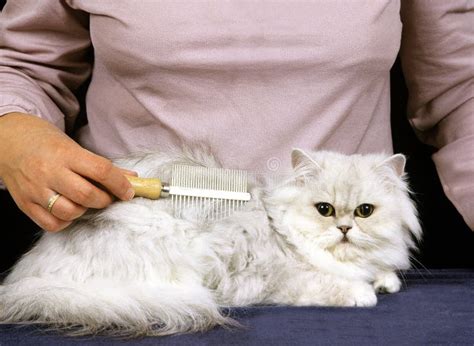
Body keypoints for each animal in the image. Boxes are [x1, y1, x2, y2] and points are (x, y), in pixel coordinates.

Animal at [0, 148, 422, 336]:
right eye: (325, 209)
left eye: (365, 211)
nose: (345, 229)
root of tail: (30, 280)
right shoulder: (273, 278)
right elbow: (328, 283)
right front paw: (364, 292)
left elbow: (381, 271)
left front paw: (383, 280)